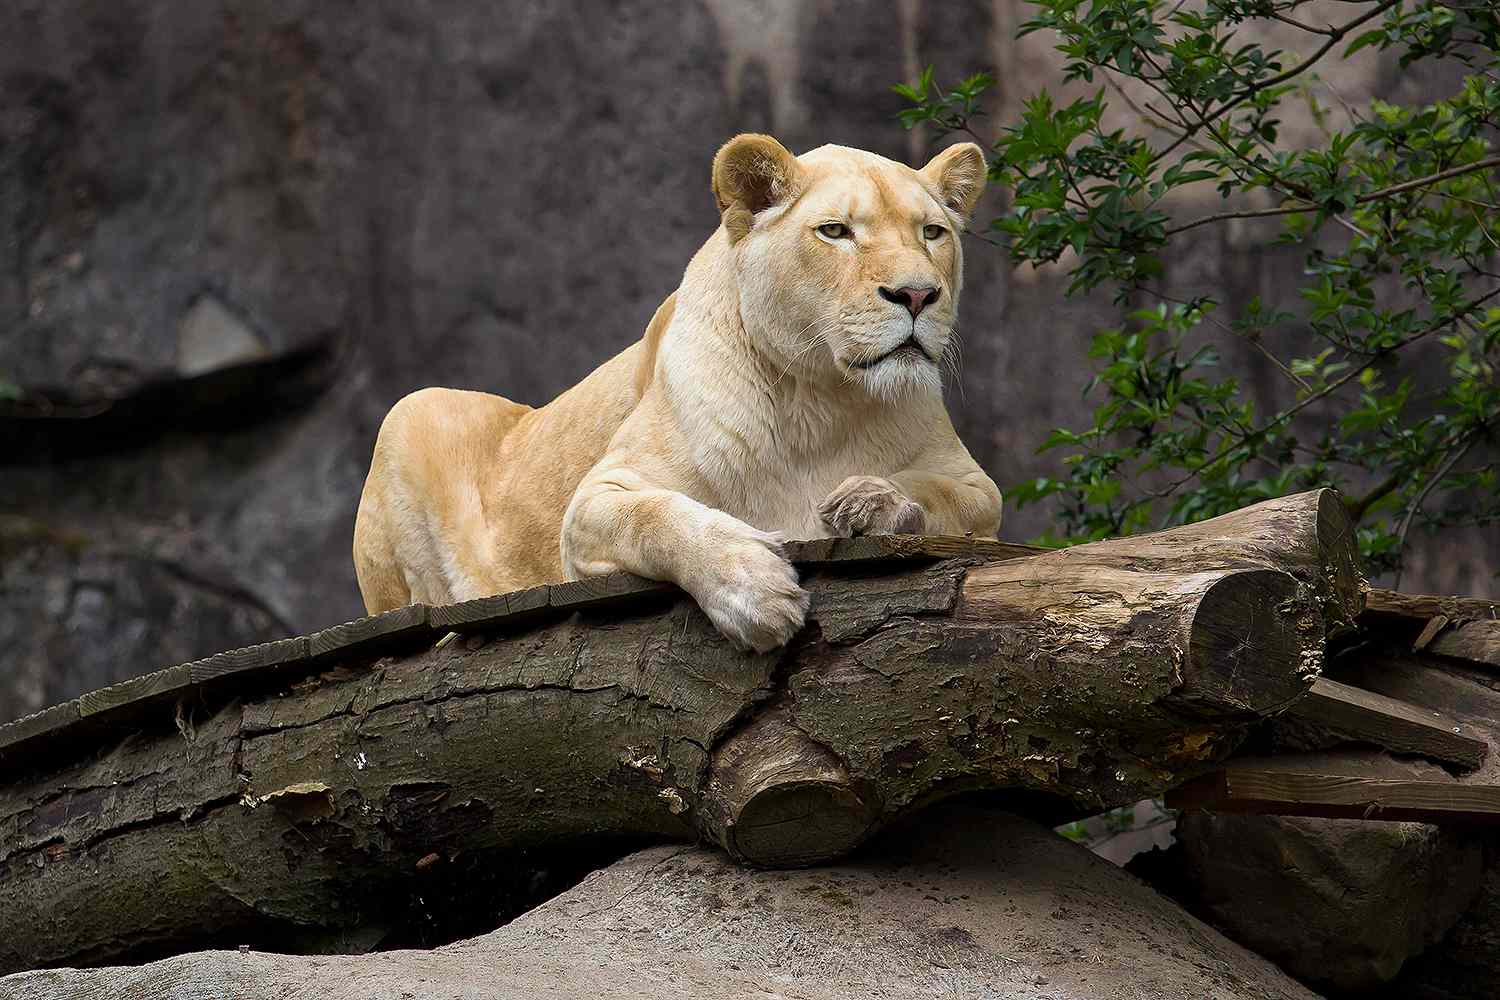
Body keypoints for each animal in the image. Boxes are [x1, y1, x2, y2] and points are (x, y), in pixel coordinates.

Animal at [353, 134, 1002, 652]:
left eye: (932, 233)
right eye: (835, 232)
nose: (918, 295)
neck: (820, 398)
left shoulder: (978, 488)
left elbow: (942, 493)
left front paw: (870, 500)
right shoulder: (592, 503)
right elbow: (657, 518)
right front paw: (754, 591)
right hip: (412, 410)